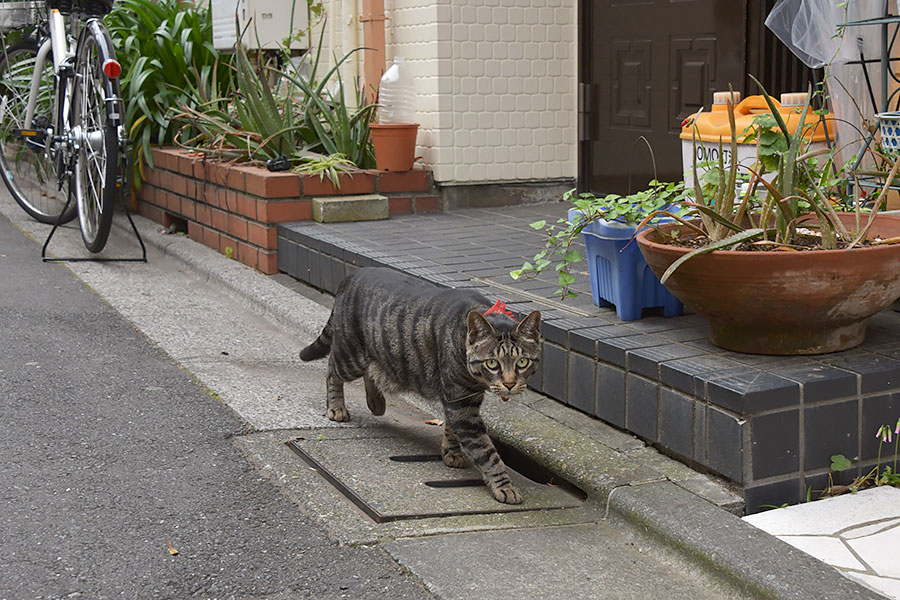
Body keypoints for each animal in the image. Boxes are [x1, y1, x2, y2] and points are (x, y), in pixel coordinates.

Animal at [300, 268, 540, 502]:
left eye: (522, 362)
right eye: (492, 363)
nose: (509, 383)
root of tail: (351, 276)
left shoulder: (461, 399)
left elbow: (451, 428)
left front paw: (451, 452)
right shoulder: (461, 402)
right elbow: (487, 452)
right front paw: (505, 486)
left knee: (372, 371)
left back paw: (376, 403)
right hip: (351, 356)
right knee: (332, 369)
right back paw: (336, 407)